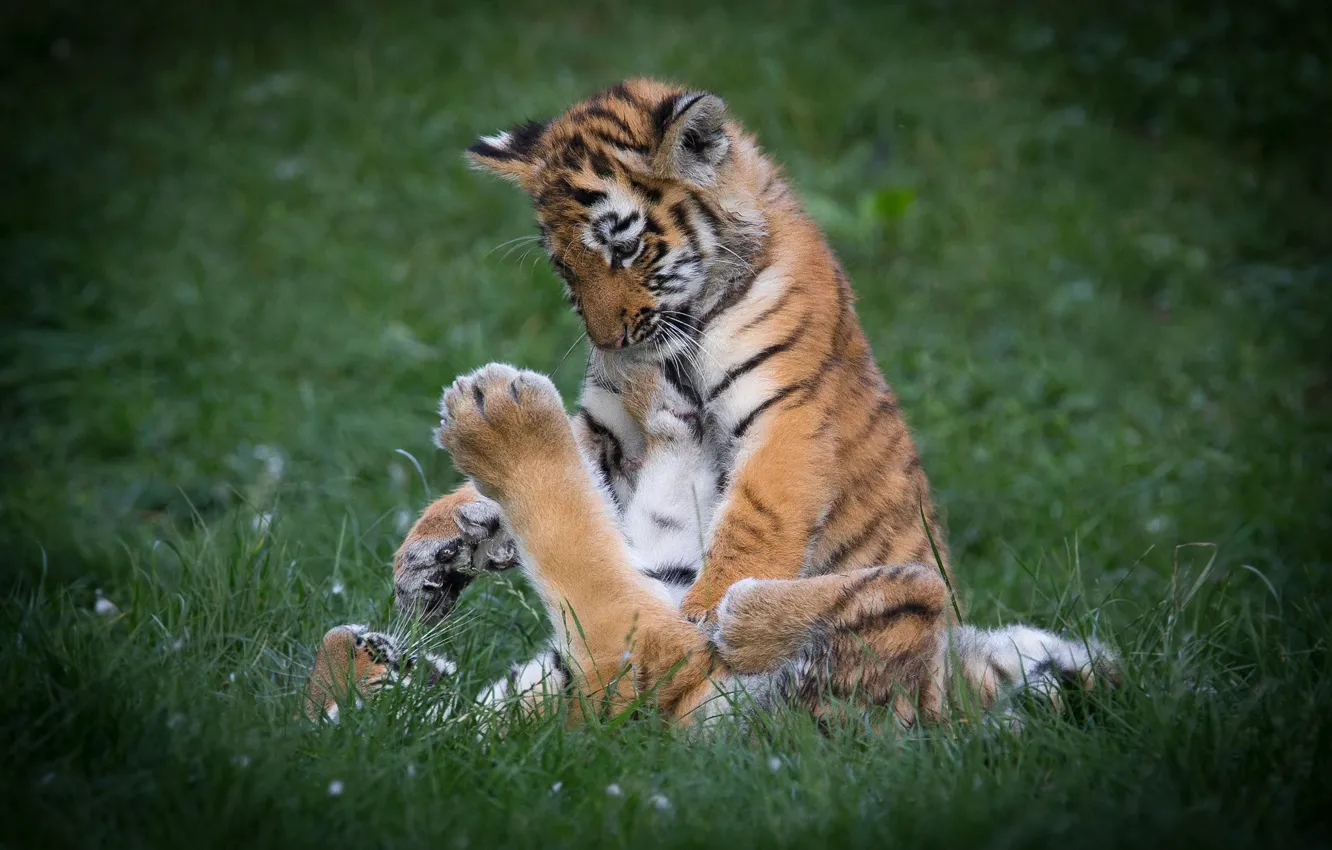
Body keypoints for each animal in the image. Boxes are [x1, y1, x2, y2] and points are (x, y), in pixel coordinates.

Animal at [309, 78, 1117, 729]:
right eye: (562, 266)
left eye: (623, 247)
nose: (610, 342)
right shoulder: (613, 432)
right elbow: (579, 471)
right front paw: (436, 545)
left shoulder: (787, 414)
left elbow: (746, 517)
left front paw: (708, 601)